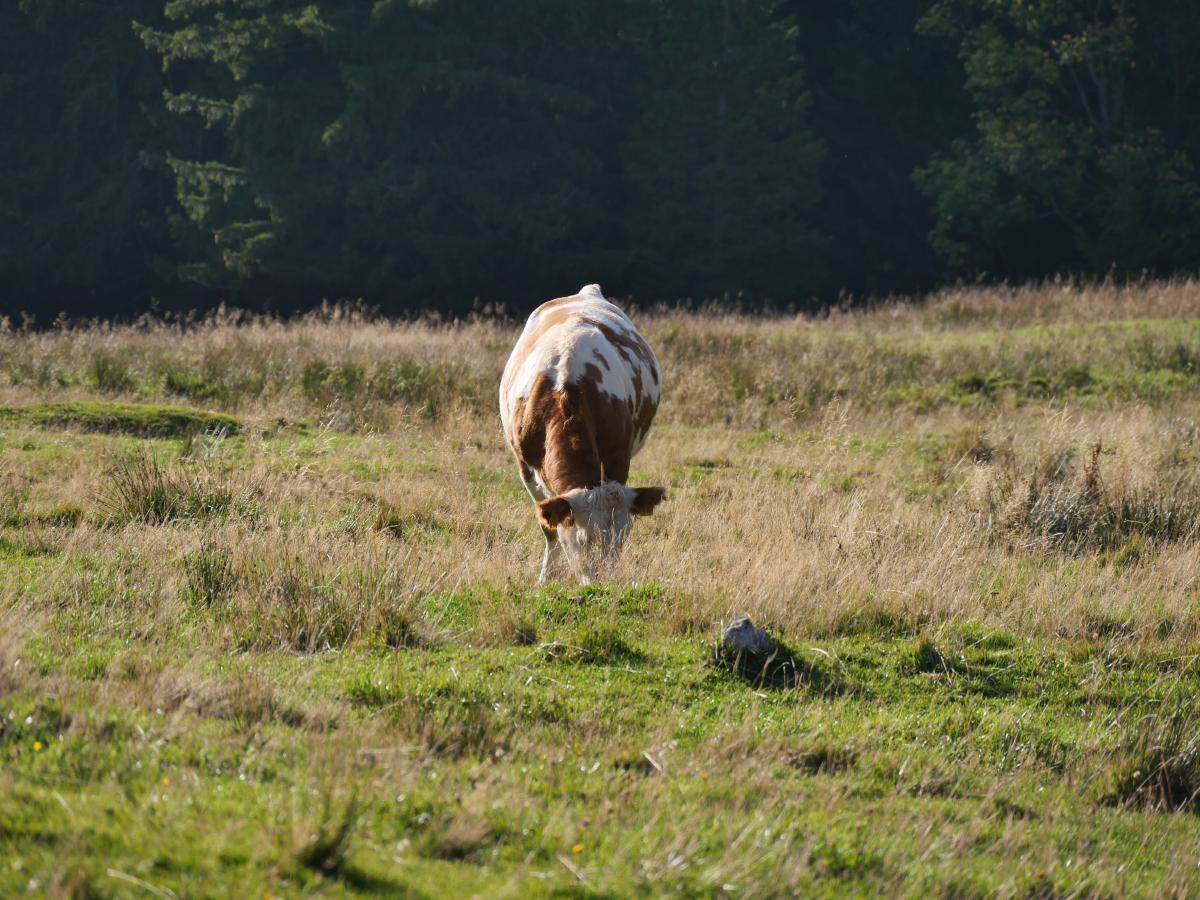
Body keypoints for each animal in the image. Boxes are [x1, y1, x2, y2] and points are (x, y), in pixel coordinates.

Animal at [500, 284, 666, 584]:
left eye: (624, 535)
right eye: (582, 540)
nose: (604, 584)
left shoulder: (619, 456)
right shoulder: (526, 469)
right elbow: (549, 529)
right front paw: (546, 578)